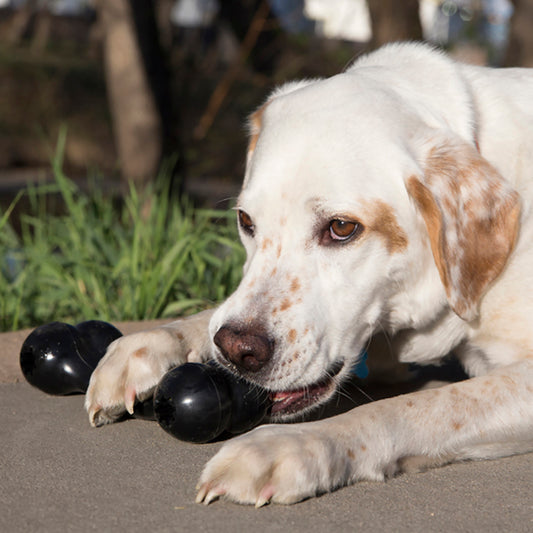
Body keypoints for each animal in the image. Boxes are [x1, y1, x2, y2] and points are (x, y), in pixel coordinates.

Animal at [85, 43, 532, 504]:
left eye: (342, 227)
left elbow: (415, 406)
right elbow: (208, 318)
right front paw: (150, 343)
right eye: (246, 220)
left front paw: (290, 445)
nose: (237, 351)